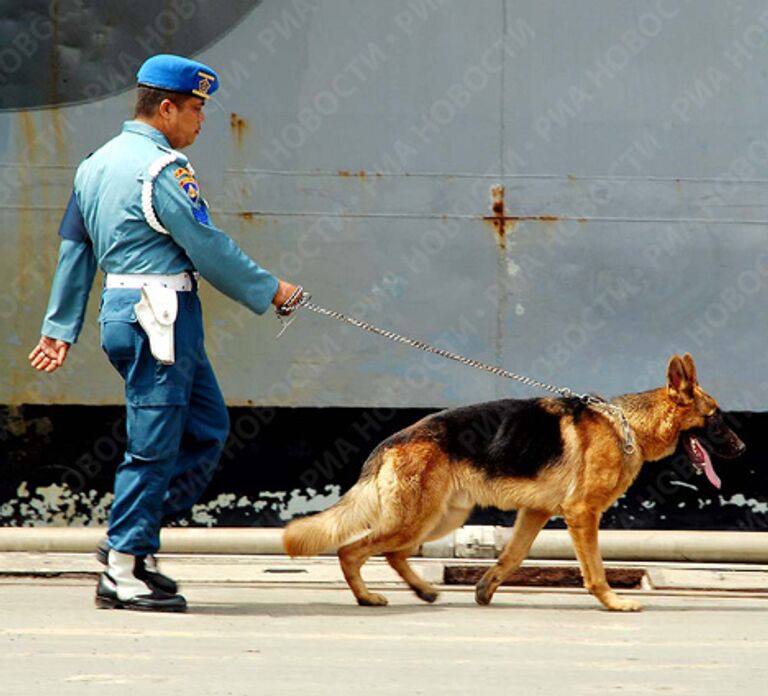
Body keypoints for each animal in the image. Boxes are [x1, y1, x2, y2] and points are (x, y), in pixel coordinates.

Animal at [284, 356, 744, 612]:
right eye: (717, 418)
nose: (743, 447)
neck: (627, 426)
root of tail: (390, 441)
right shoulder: (582, 515)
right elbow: (595, 570)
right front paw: (613, 602)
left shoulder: (536, 512)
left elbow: (514, 555)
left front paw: (486, 587)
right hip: (416, 519)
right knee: (351, 550)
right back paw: (367, 598)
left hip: (440, 518)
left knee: (392, 554)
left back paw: (424, 591)